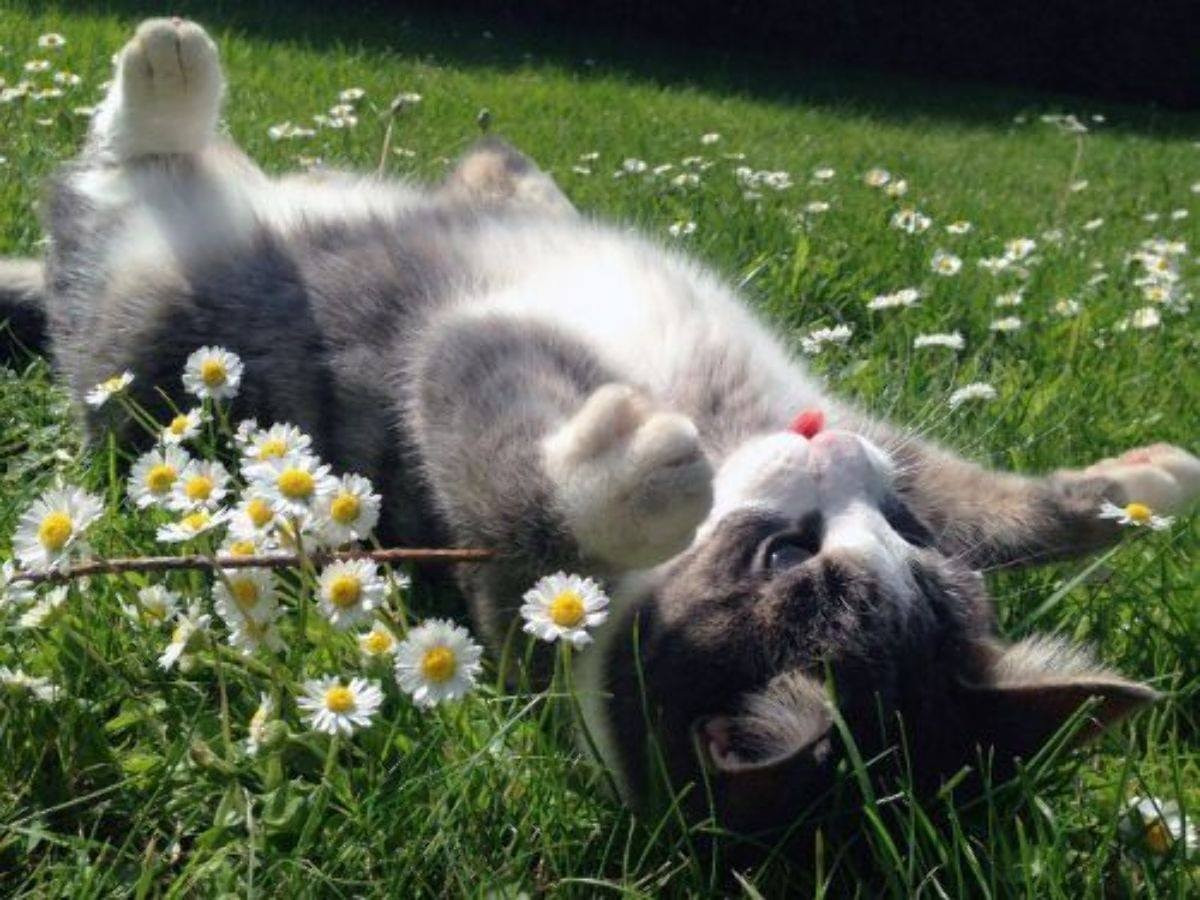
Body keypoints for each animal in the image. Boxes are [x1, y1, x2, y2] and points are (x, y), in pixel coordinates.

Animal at [2, 17, 1200, 844]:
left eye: (785, 556)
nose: (825, 452)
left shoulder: (457, 363)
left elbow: (510, 481)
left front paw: (641, 480)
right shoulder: (875, 445)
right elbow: (989, 501)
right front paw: (1148, 485)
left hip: (144, 303)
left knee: (113, 182)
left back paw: (171, 87)